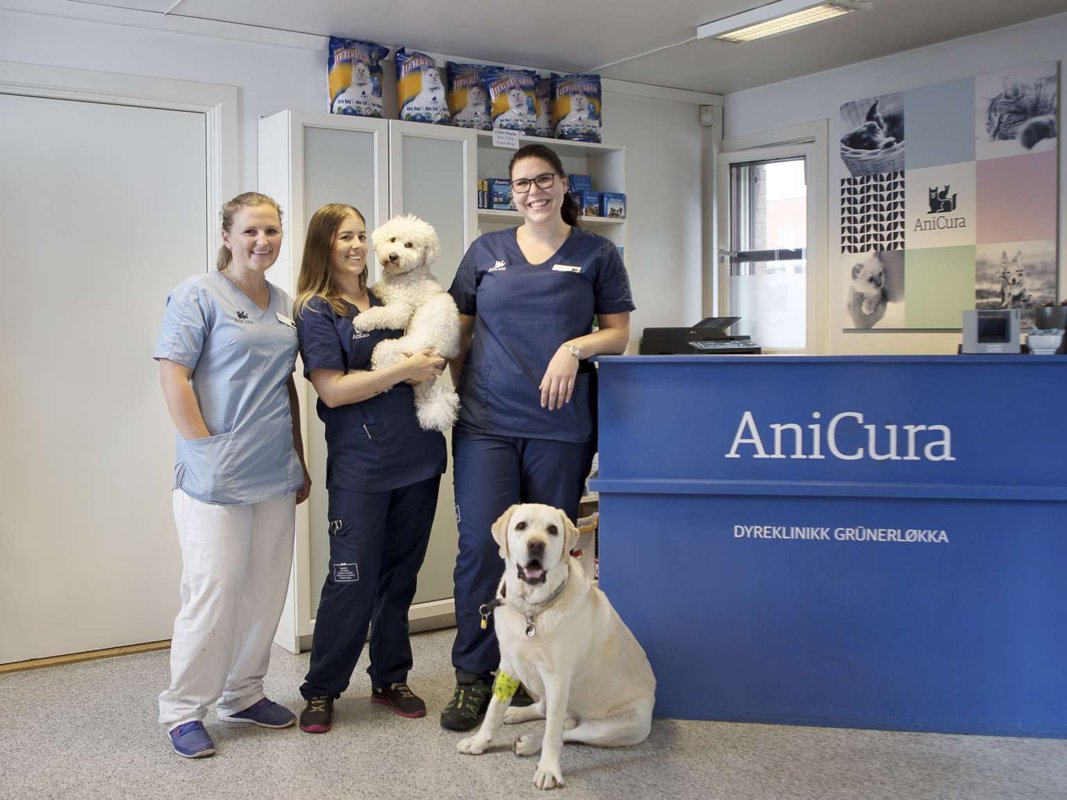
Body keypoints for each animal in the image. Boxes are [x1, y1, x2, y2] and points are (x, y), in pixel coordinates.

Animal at [458, 503, 657, 793]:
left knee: (566, 730)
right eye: (521, 526)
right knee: (548, 713)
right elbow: (495, 708)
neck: (530, 610)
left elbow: (552, 733)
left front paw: (548, 770)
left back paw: (530, 743)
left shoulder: (558, 680)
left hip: (620, 726)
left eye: (552, 530)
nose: (536, 545)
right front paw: (480, 741)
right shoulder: (508, 664)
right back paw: (516, 713)